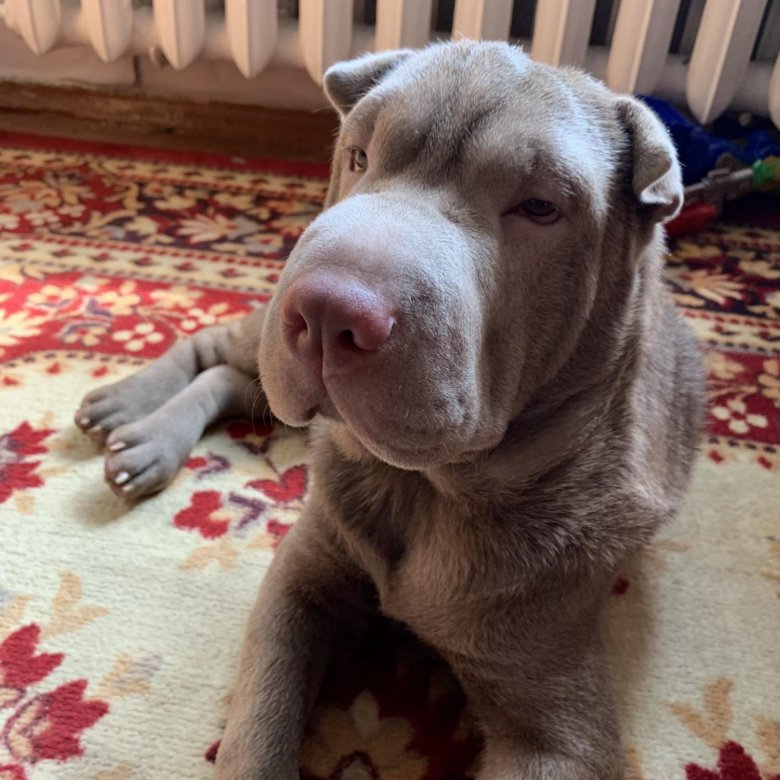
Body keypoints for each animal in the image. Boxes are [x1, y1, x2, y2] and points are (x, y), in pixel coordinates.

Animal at [76, 41, 704, 779]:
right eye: (358, 157)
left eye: (540, 208)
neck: (422, 490)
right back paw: (131, 411)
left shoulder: (557, 729)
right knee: (220, 346)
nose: (326, 311)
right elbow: (259, 721)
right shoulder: (297, 582)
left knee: (235, 378)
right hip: (266, 327)